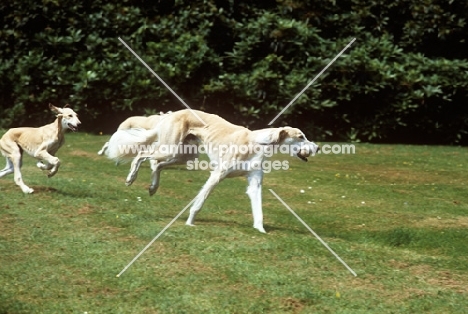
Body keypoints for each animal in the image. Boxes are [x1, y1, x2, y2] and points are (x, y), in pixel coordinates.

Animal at [105, 109, 318, 232]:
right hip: (170, 149)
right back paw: (131, 177)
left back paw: (153, 187)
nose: (317, 148)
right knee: (142, 155)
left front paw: (261, 231)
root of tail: (171, 113)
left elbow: (258, 211)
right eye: (301, 136)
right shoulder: (217, 175)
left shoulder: (254, 182)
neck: (257, 143)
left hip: (185, 156)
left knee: (156, 164)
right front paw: (190, 223)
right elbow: (199, 203)